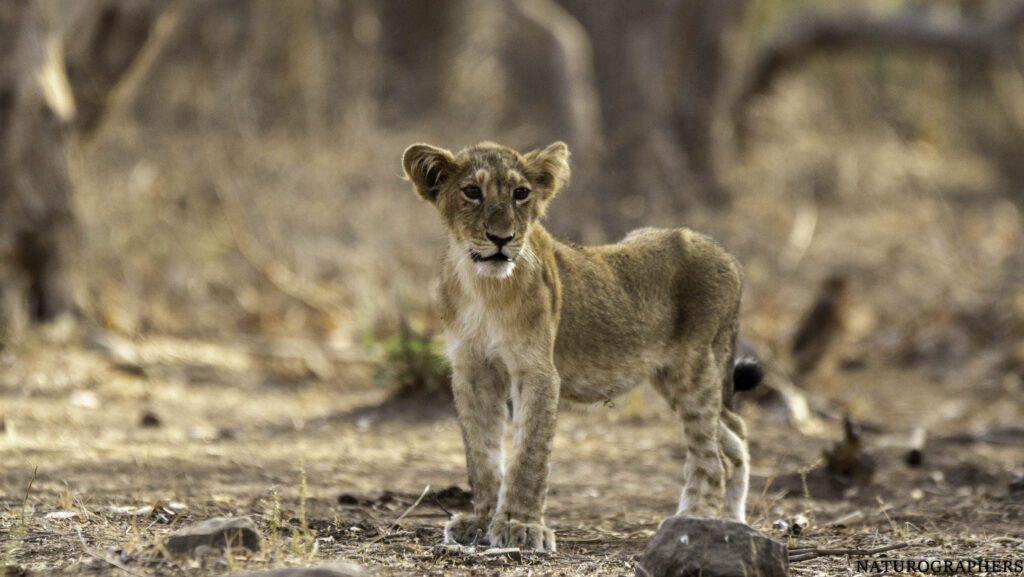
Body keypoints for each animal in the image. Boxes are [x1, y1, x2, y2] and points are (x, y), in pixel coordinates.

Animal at [401, 141, 762, 552]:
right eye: (472, 192)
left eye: (520, 193)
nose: (502, 238)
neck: (484, 287)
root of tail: (729, 258)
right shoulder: (472, 372)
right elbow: (481, 454)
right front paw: (480, 521)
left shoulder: (537, 370)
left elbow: (529, 454)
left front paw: (520, 526)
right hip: (674, 376)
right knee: (734, 434)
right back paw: (732, 522)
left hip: (695, 369)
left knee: (714, 458)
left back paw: (693, 520)